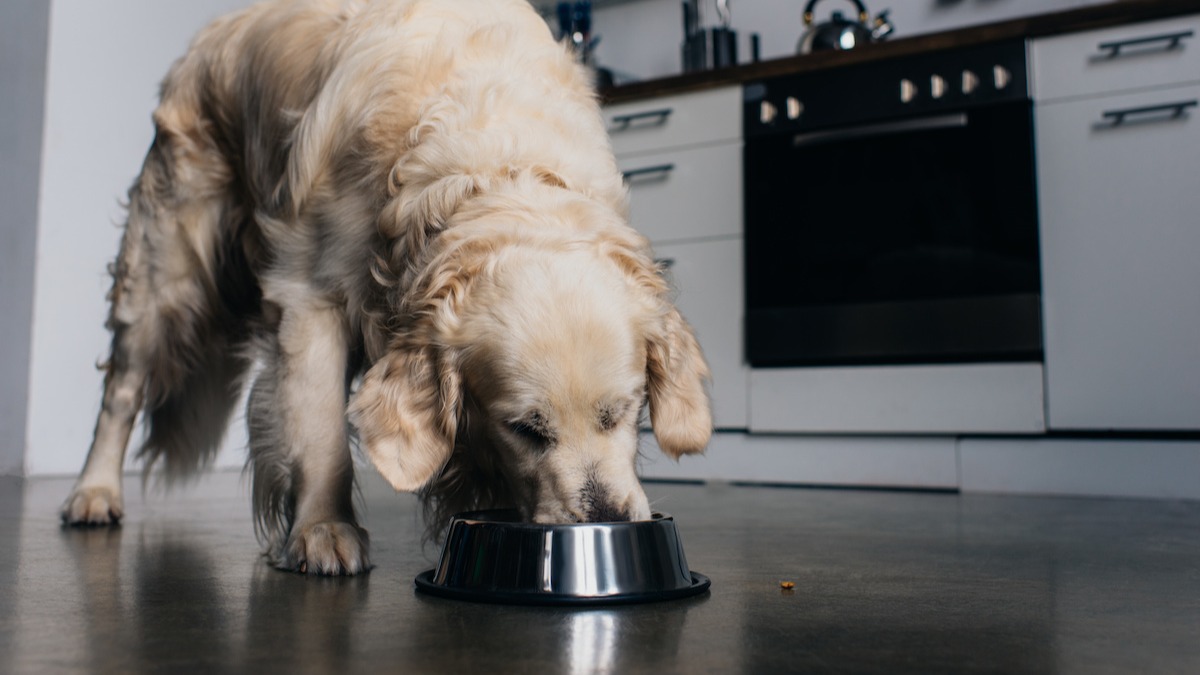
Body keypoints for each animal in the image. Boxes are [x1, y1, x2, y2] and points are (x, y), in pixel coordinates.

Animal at [58, 0, 710, 571]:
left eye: (624, 413)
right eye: (524, 429)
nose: (611, 522)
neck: (494, 164)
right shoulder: (308, 297)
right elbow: (321, 431)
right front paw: (323, 530)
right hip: (164, 271)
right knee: (121, 391)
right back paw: (94, 492)